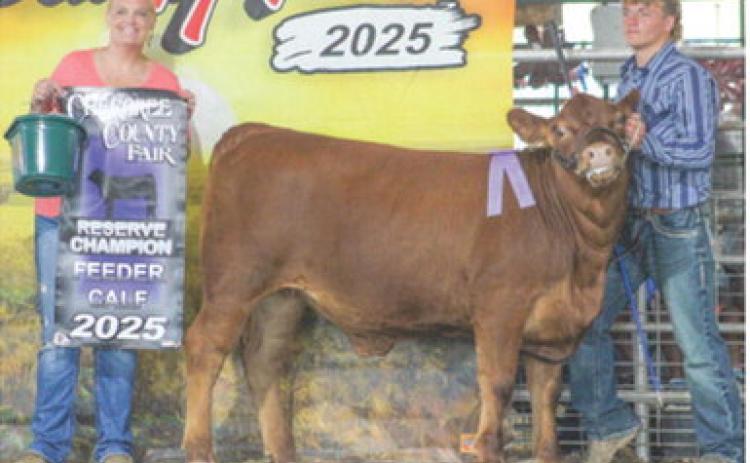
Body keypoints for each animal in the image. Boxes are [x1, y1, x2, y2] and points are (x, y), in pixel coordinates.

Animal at [182, 90, 640, 463]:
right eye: (561, 129)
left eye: (618, 120)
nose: (601, 152)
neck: (580, 261)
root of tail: (254, 133)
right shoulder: (499, 311)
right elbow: (496, 394)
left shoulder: (550, 335)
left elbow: (547, 419)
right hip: (234, 283)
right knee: (205, 347)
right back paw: (199, 450)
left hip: (282, 298)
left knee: (265, 361)